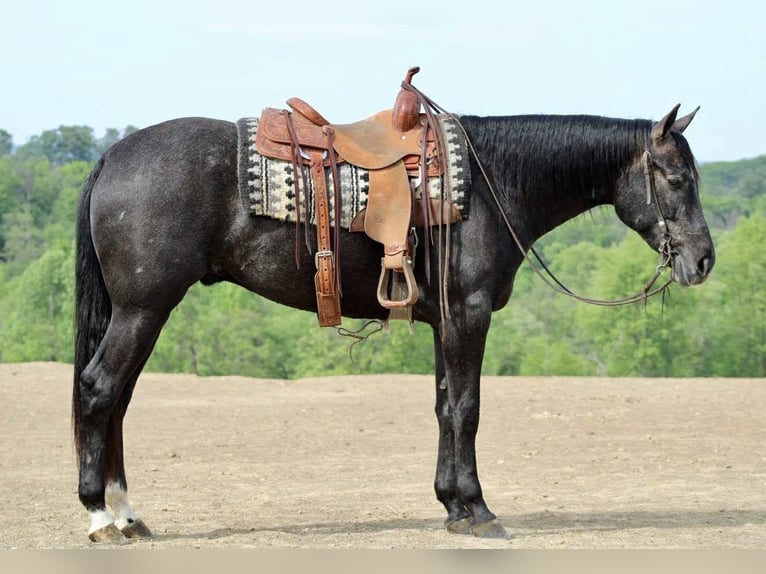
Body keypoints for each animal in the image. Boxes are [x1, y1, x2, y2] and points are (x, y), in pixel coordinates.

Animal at [72, 103, 714, 543]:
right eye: (677, 179)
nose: (704, 259)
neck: (492, 183)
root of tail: (112, 156)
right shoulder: (469, 315)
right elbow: (467, 409)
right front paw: (479, 511)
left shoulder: (443, 322)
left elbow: (444, 407)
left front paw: (452, 505)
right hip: (143, 309)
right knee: (100, 390)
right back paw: (100, 514)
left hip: (142, 313)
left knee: (118, 400)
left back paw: (127, 514)